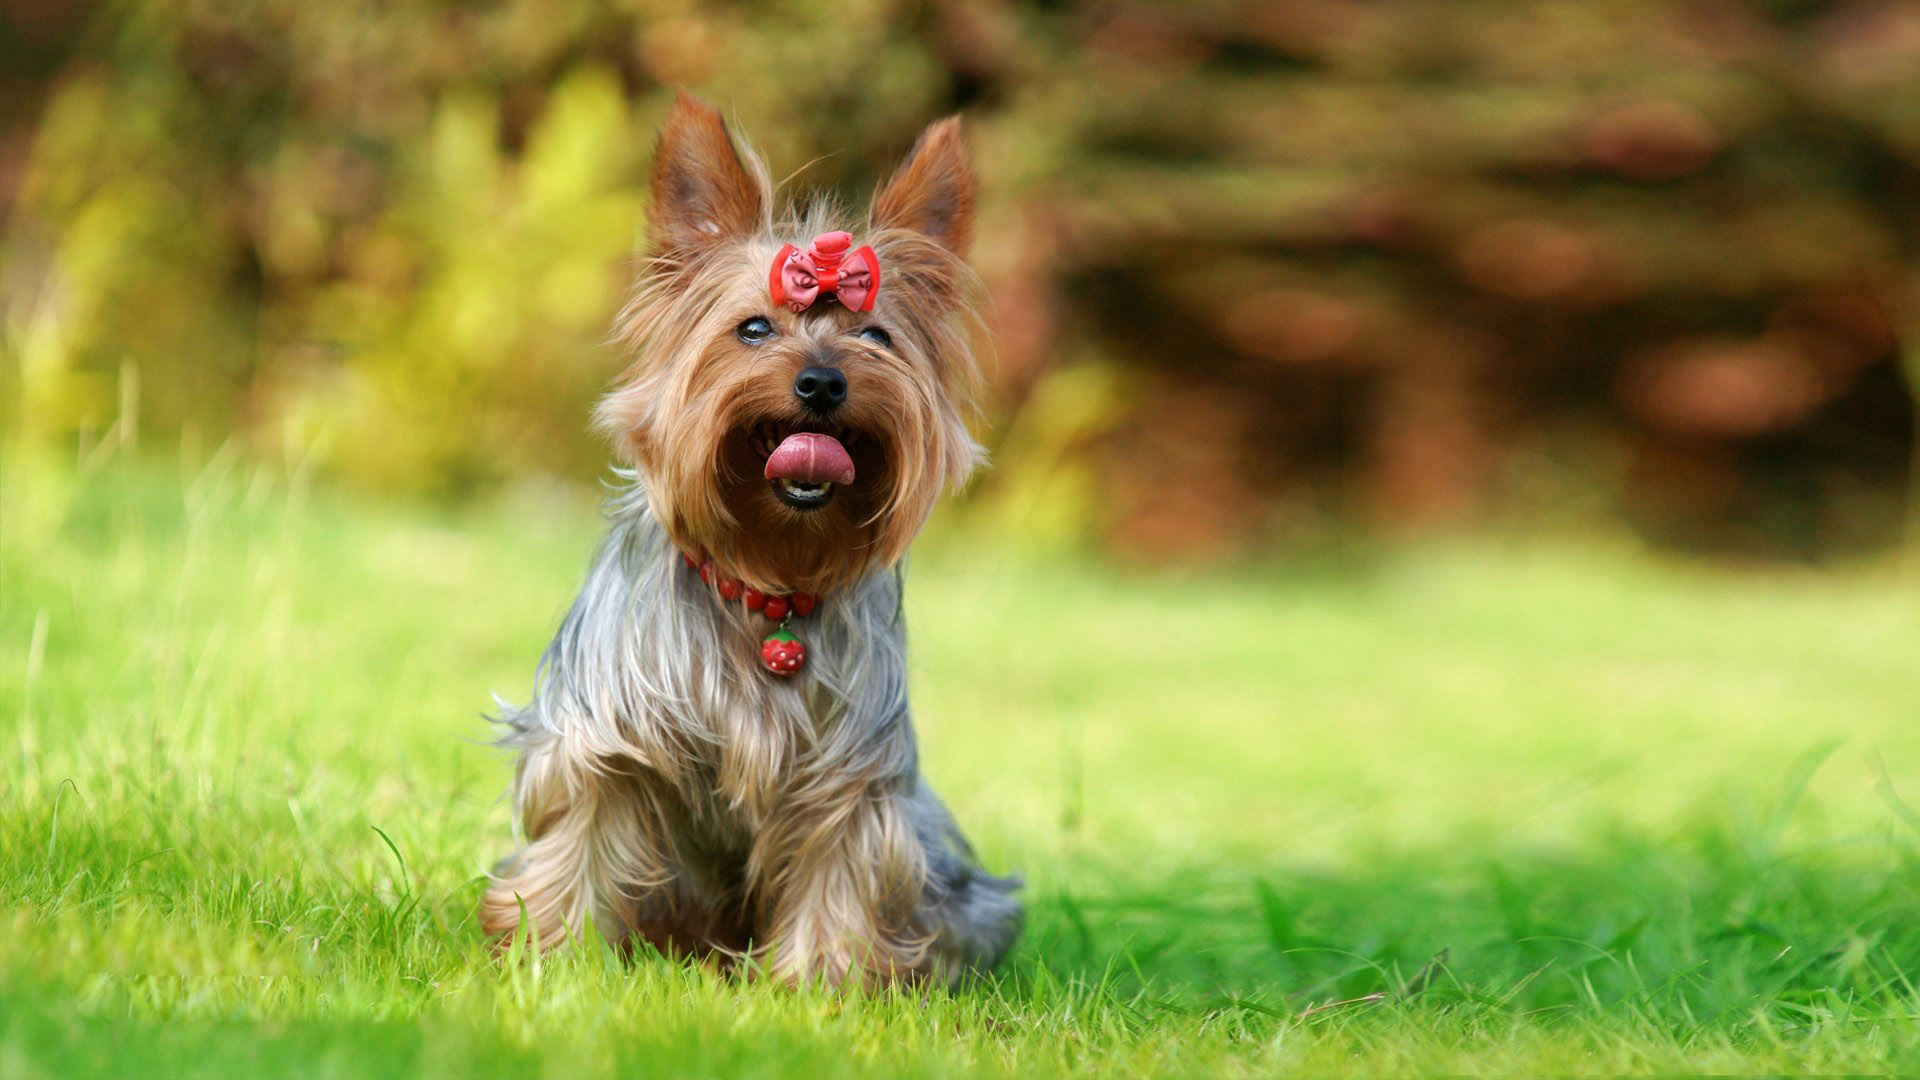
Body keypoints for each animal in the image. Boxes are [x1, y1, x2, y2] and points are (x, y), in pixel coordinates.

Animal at [480, 93, 1021, 986]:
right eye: (755, 328)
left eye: (875, 338)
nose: (822, 381)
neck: (768, 580)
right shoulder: (607, 735)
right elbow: (579, 834)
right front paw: (548, 958)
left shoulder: (849, 772)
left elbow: (838, 867)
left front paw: (819, 987)